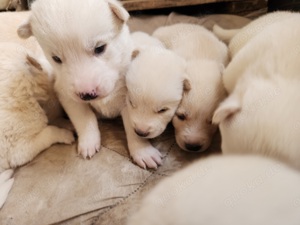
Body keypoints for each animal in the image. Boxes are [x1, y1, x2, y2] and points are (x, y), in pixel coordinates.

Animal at [16, 0, 134, 158]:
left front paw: (143, 152)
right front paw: (88, 142)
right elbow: (84, 117)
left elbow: (133, 125)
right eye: (56, 58)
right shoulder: (67, 94)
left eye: (100, 48)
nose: (87, 95)